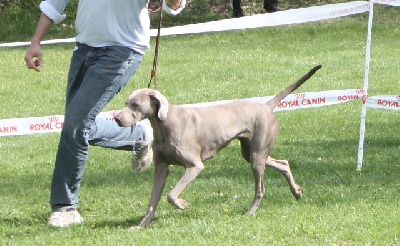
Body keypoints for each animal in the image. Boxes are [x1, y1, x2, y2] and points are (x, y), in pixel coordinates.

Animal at [113, 64, 322, 230]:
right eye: (126, 103)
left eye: (136, 105)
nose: (117, 119)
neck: (164, 125)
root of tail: (265, 106)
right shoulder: (161, 168)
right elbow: (152, 200)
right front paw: (141, 225)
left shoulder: (195, 166)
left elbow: (171, 195)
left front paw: (182, 204)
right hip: (251, 152)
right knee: (283, 163)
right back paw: (296, 192)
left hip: (256, 155)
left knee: (260, 189)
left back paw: (250, 212)